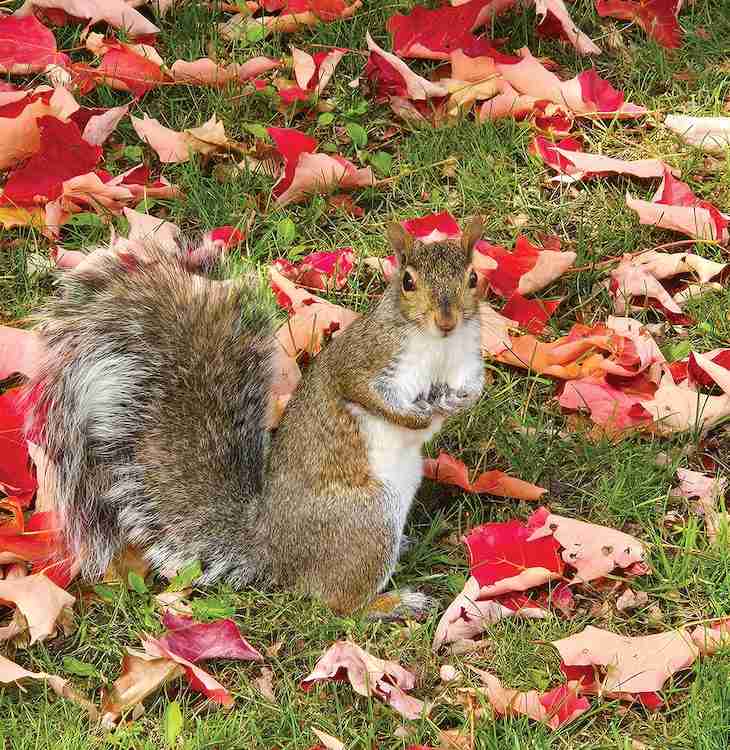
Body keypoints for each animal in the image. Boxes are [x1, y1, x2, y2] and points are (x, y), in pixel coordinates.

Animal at [27, 217, 486, 618]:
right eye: (407, 281)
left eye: (473, 278)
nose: (446, 320)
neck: (438, 347)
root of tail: (273, 547)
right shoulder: (366, 358)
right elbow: (359, 391)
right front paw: (413, 421)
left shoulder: (468, 360)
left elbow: (473, 389)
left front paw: (458, 404)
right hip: (367, 520)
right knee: (338, 604)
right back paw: (392, 603)